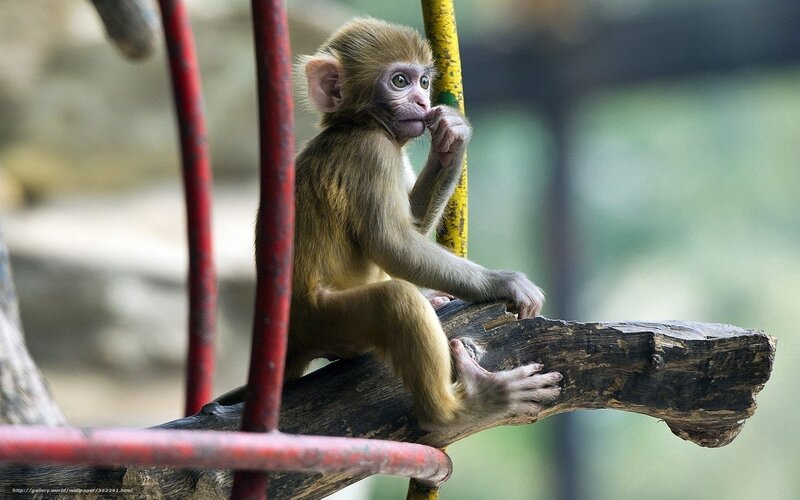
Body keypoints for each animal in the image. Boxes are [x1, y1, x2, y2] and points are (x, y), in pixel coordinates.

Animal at [221, 18, 562, 432]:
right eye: (400, 81)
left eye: (424, 82)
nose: (423, 103)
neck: (357, 125)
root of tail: (292, 337)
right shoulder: (371, 154)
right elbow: (394, 246)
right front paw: (505, 282)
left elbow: (409, 226)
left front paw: (452, 140)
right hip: (325, 320)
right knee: (394, 299)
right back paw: (456, 409)